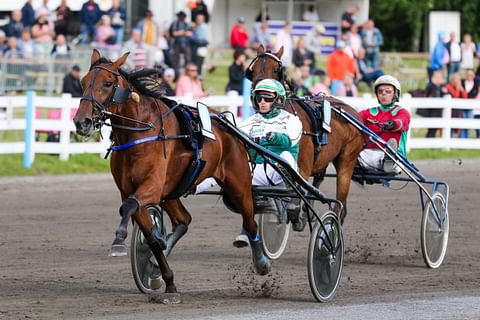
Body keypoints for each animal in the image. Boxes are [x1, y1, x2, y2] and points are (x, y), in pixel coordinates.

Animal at [73, 50, 272, 298]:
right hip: (172, 191)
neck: (141, 132)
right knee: (184, 219)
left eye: (108, 83)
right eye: (83, 82)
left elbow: (128, 208)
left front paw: (119, 242)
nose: (82, 122)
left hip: (239, 185)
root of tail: (227, 124)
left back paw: (262, 262)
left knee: (250, 221)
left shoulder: (152, 186)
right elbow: (147, 231)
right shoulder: (133, 190)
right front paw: (165, 276)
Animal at [248, 46, 364, 224]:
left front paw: (297, 214)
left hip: (347, 160)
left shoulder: (304, 164)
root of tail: (352, 112)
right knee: (319, 179)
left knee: (340, 204)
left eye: (275, 69)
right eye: (253, 70)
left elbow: (295, 197)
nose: (259, 96)